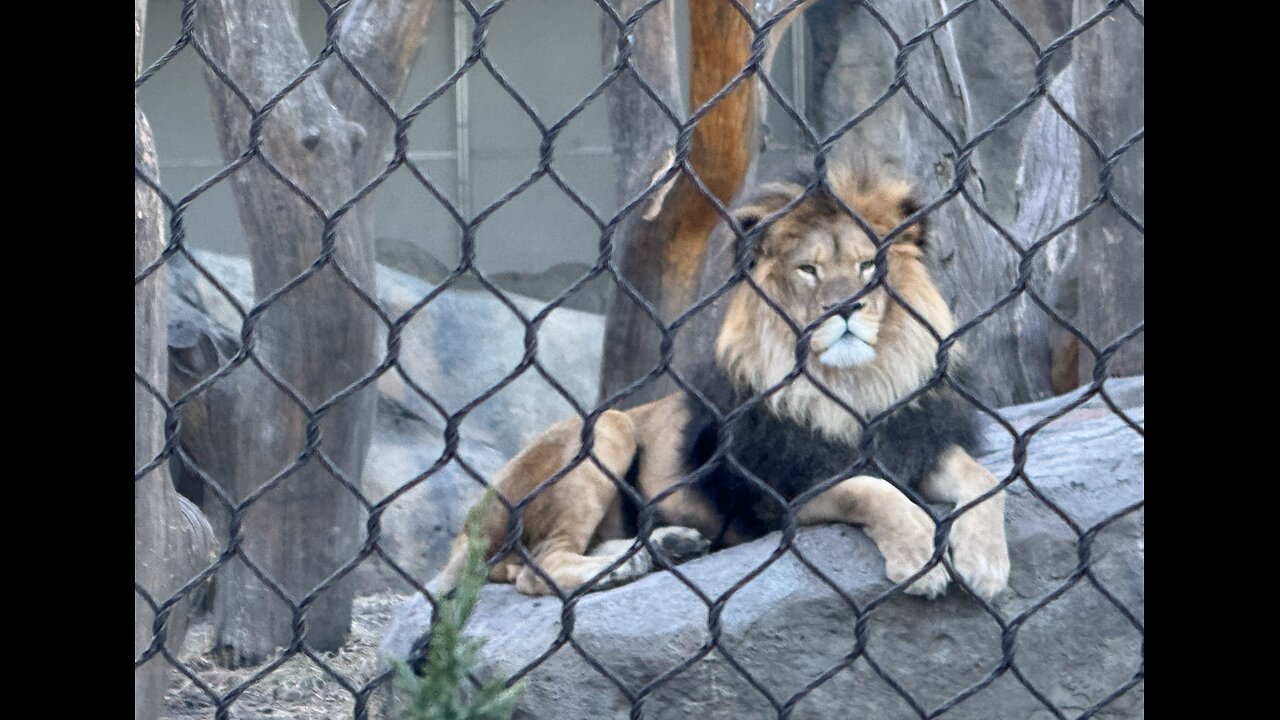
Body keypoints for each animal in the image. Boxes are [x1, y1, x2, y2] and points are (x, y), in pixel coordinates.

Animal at [428, 167, 1010, 602]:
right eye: (808, 270)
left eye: (869, 265)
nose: (846, 308)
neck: (851, 388)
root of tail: (465, 534)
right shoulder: (780, 497)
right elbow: (872, 490)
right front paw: (919, 559)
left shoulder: (915, 442)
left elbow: (981, 477)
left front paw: (986, 564)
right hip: (608, 427)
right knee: (536, 568)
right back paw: (627, 567)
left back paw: (662, 547)